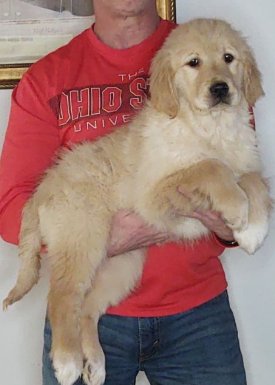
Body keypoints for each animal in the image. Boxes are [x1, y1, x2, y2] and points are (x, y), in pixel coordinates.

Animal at [3, 19, 272, 384]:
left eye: (228, 58)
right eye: (194, 63)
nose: (220, 89)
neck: (210, 128)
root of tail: (43, 189)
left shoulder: (244, 163)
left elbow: (254, 180)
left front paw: (253, 229)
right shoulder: (155, 194)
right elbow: (209, 167)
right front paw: (236, 208)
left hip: (123, 265)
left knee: (87, 308)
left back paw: (95, 363)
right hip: (82, 238)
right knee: (62, 297)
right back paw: (67, 359)